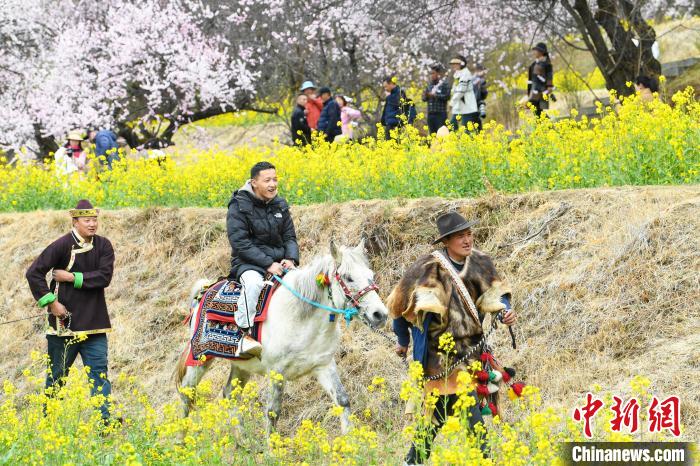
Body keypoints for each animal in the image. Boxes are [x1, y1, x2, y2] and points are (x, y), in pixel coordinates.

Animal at [174, 240, 389, 434]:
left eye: (371, 276)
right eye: (348, 277)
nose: (380, 314)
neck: (301, 320)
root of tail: (205, 290)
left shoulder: (324, 365)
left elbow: (342, 400)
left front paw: (349, 440)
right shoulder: (276, 372)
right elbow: (273, 413)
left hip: (242, 365)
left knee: (230, 395)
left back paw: (243, 443)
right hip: (200, 359)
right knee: (186, 394)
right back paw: (181, 440)